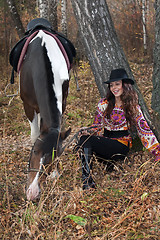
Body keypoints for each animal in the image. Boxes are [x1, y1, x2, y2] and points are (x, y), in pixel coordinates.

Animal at [18, 26, 74, 201]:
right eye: (34, 151)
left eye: (56, 157)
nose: (33, 192)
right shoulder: (28, 106)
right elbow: (34, 134)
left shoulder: (63, 100)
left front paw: (54, 173)